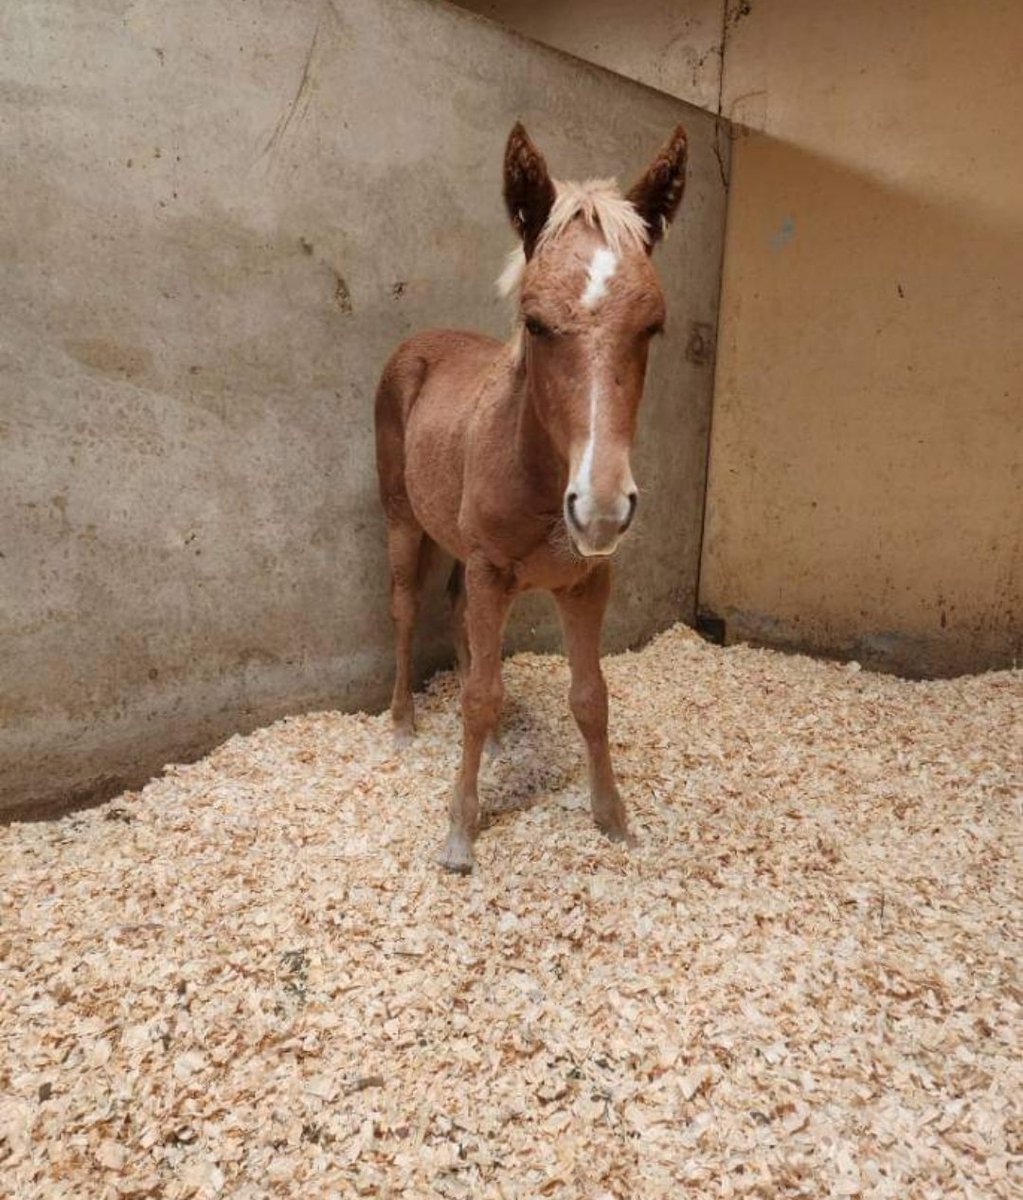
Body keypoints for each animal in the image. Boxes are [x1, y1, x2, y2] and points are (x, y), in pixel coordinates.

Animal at [375, 122, 688, 872]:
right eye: (535, 322)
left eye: (652, 326)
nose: (601, 510)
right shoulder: (492, 570)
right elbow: (480, 696)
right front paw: (460, 832)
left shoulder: (585, 582)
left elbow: (590, 697)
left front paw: (613, 818)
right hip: (402, 521)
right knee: (405, 609)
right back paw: (401, 721)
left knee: (456, 616)